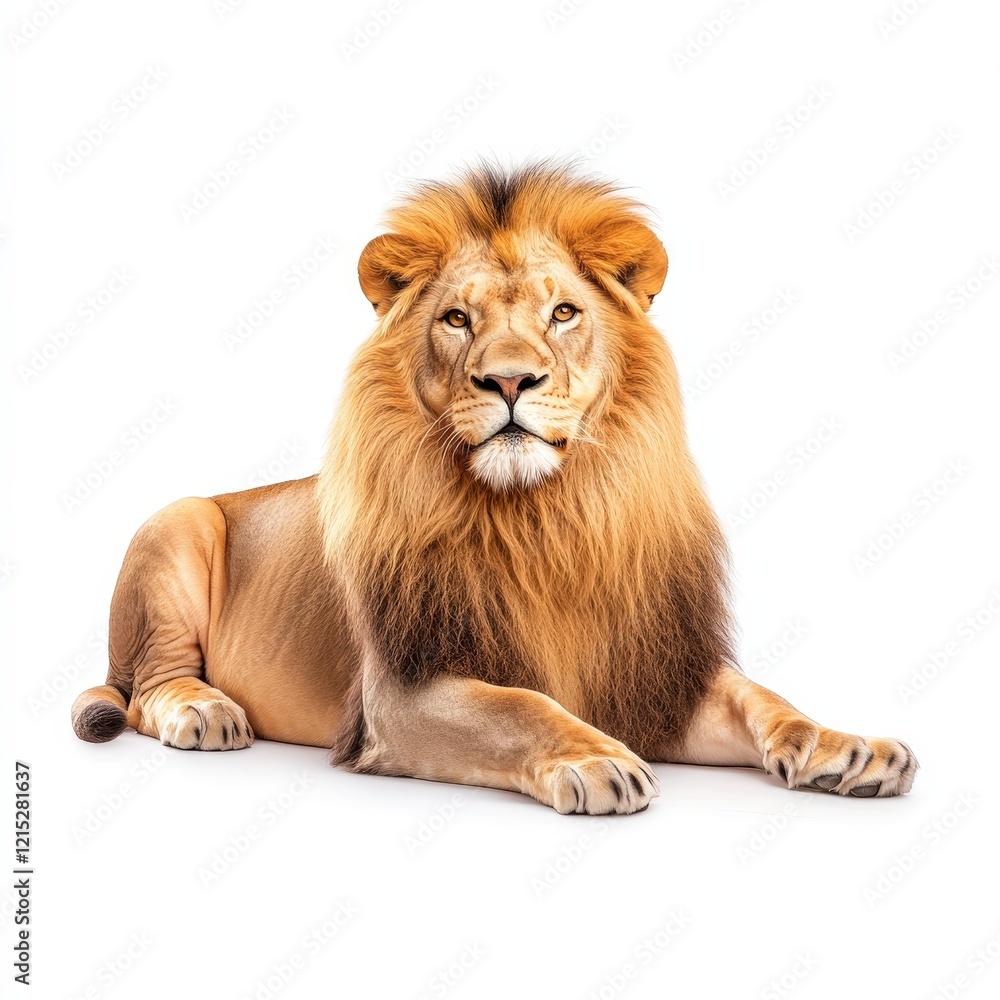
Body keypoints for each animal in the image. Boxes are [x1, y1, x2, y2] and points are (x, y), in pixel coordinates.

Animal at [71, 163, 917, 813]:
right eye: (455, 319)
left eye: (564, 312)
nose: (509, 380)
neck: (545, 520)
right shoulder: (401, 693)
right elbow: (519, 704)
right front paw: (594, 760)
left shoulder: (649, 670)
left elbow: (759, 697)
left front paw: (848, 747)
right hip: (174, 522)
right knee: (146, 687)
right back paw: (205, 709)